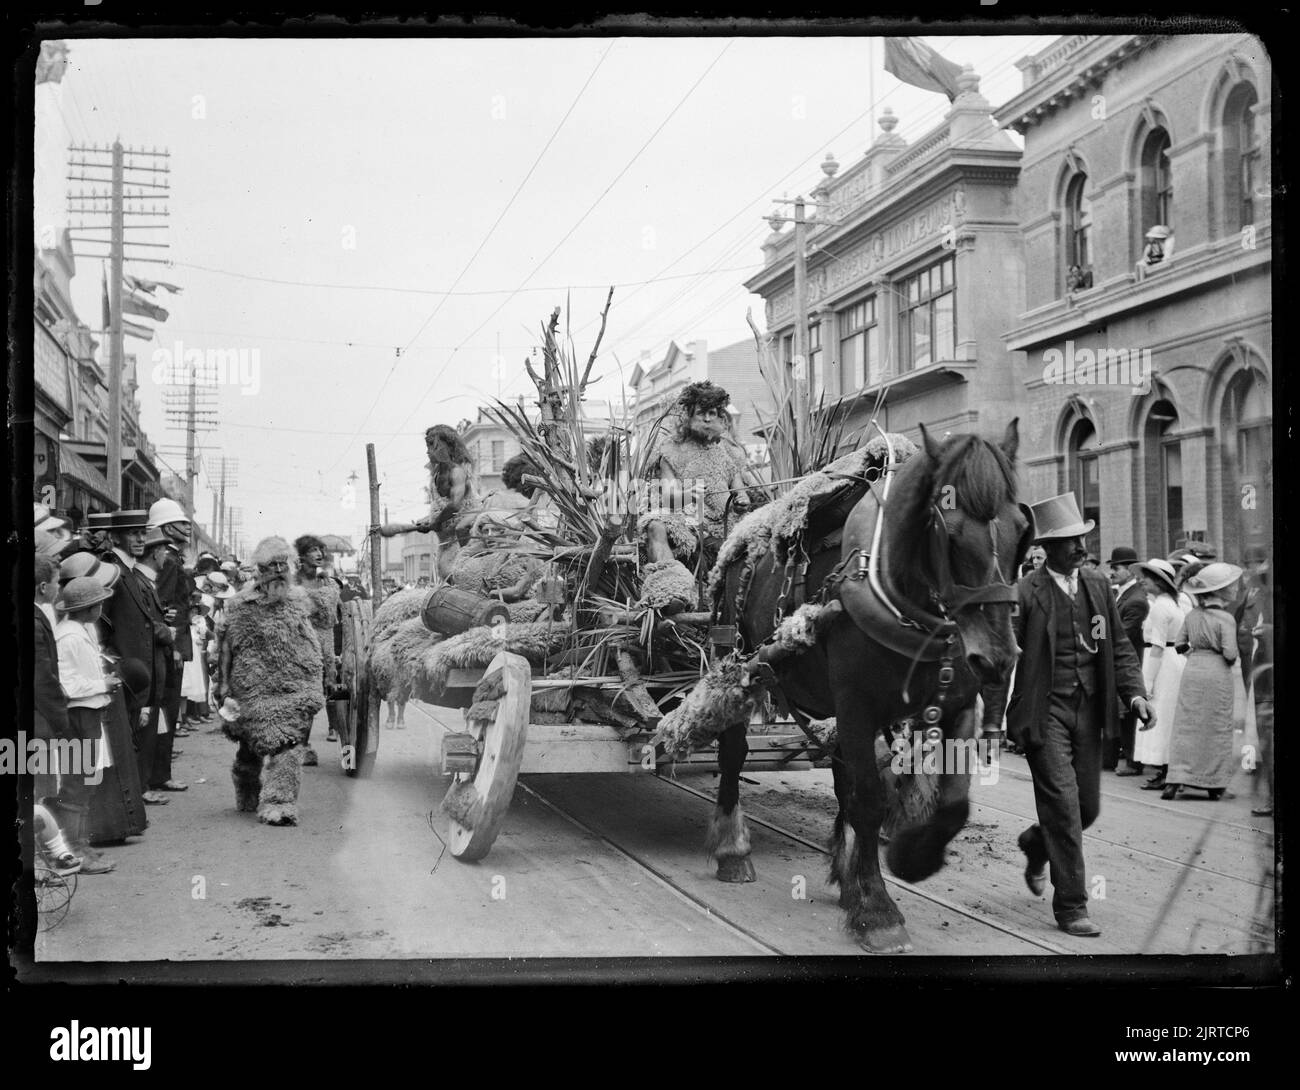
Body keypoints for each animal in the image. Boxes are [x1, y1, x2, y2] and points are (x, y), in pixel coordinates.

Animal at [707, 421, 1029, 952]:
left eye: (1022, 528)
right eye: (948, 532)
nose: (999, 657)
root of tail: (742, 533)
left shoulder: (960, 704)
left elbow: (952, 804)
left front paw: (910, 859)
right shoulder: (857, 706)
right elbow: (870, 800)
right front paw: (878, 910)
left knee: (843, 777)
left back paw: (847, 876)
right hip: (740, 665)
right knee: (734, 753)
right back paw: (733, 849)